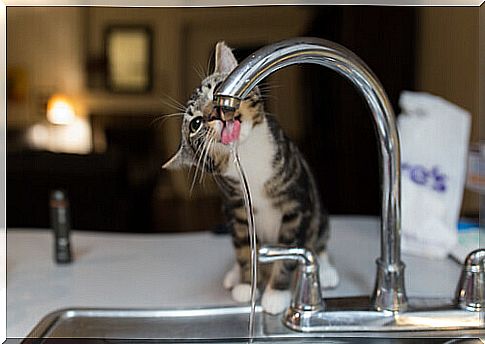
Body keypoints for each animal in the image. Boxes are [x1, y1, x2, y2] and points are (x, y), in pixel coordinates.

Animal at [164, 41, 338, 314]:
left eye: (217, 91)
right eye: (196, 124)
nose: (214, 113)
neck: (247, 157)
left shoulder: (296, 203)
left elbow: (288, 250)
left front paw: (276, 294)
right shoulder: (236, 208)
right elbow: (245, 248)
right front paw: (247, 285)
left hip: (317, 209)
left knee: (319, 238)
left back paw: (327, 269)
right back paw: (234, 274)